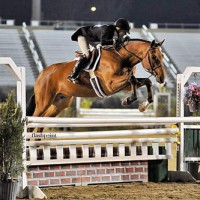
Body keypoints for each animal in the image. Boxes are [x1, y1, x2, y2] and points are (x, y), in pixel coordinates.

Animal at [27, 38, 166, 120]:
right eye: (154, 57)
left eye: (162, 56)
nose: (162, 78)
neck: (120, 56)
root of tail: (42, 74)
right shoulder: (110, 85)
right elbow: (132, 79)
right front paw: (128, 100)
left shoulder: (124, 86)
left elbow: (144, 81)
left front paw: (143, 105)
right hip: (43, 103)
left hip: (59, 103)